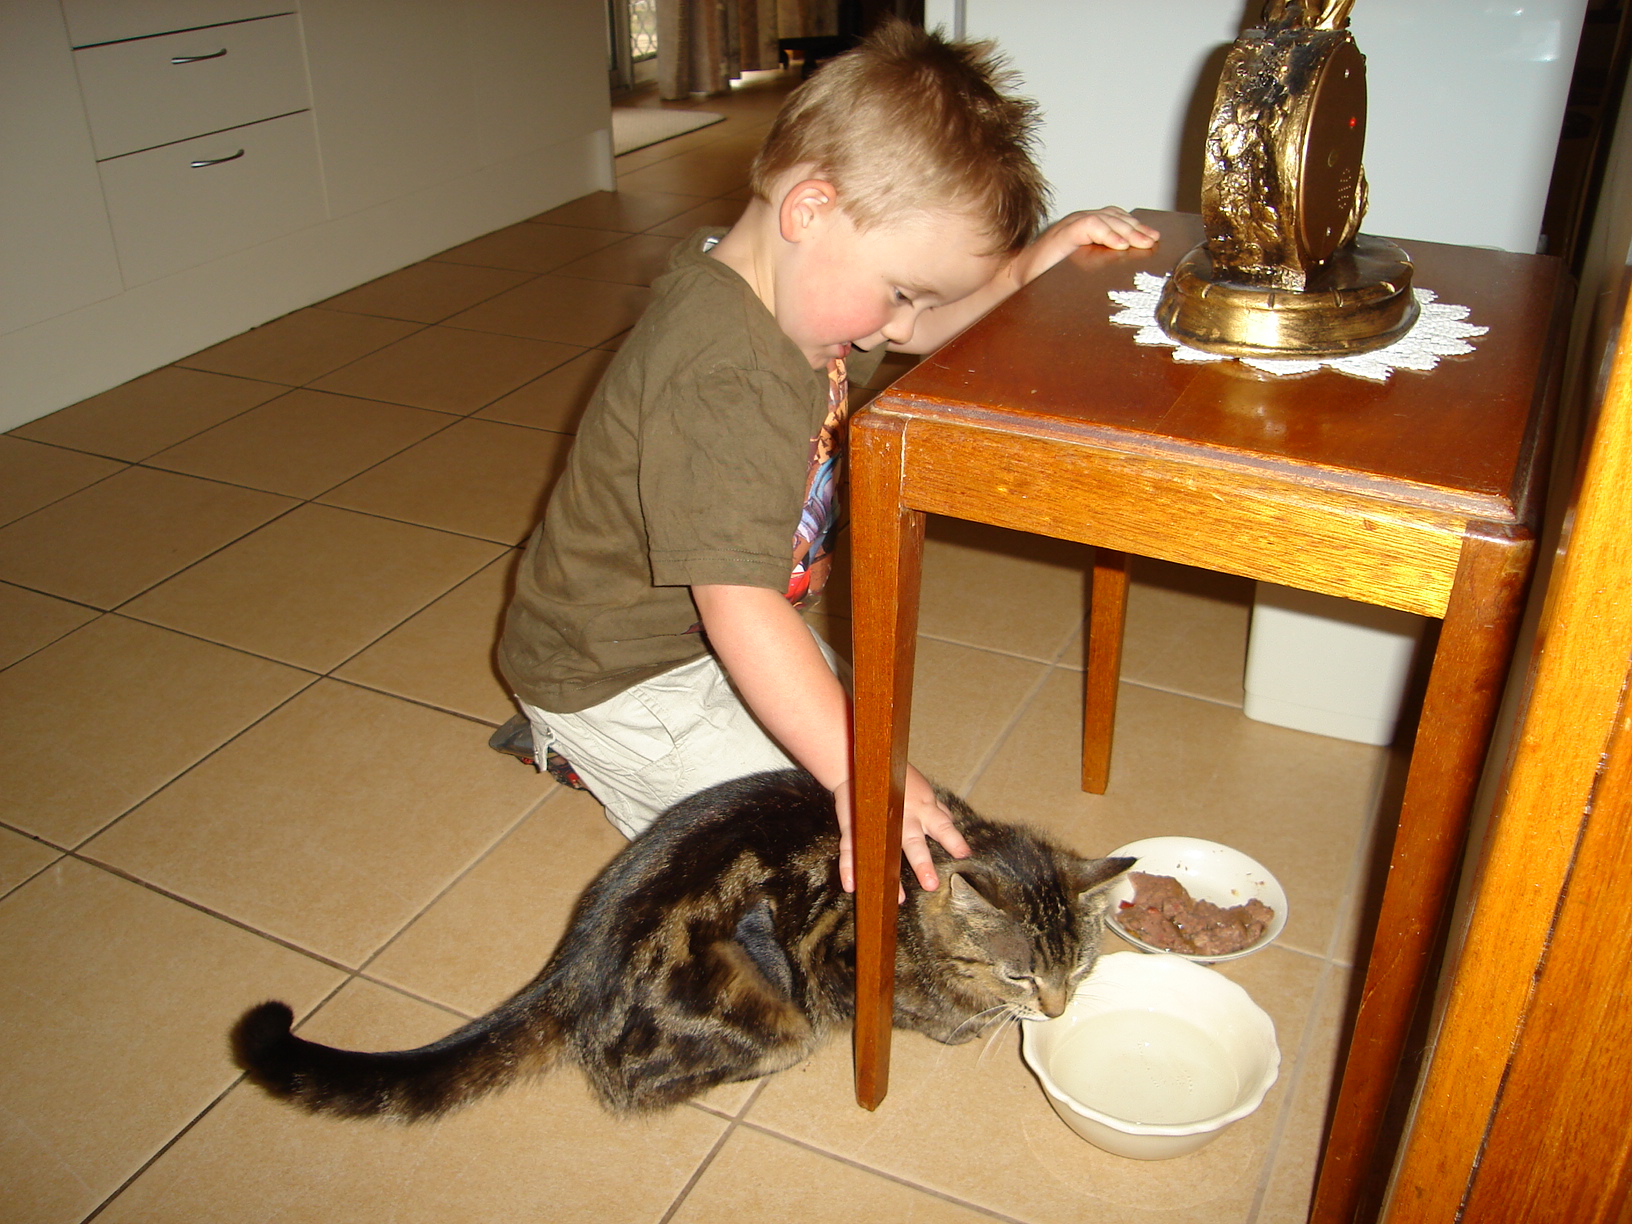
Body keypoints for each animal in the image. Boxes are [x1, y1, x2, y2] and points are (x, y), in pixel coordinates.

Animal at [236, 770, 1135, 1129]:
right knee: (633, 1087)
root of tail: (571, 965)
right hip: (763, 1003)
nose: (1060, 1005)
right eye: (1021, 970)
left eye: (1079, 966)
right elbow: (944, 1018)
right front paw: (981, 1020)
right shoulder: (839, 970)